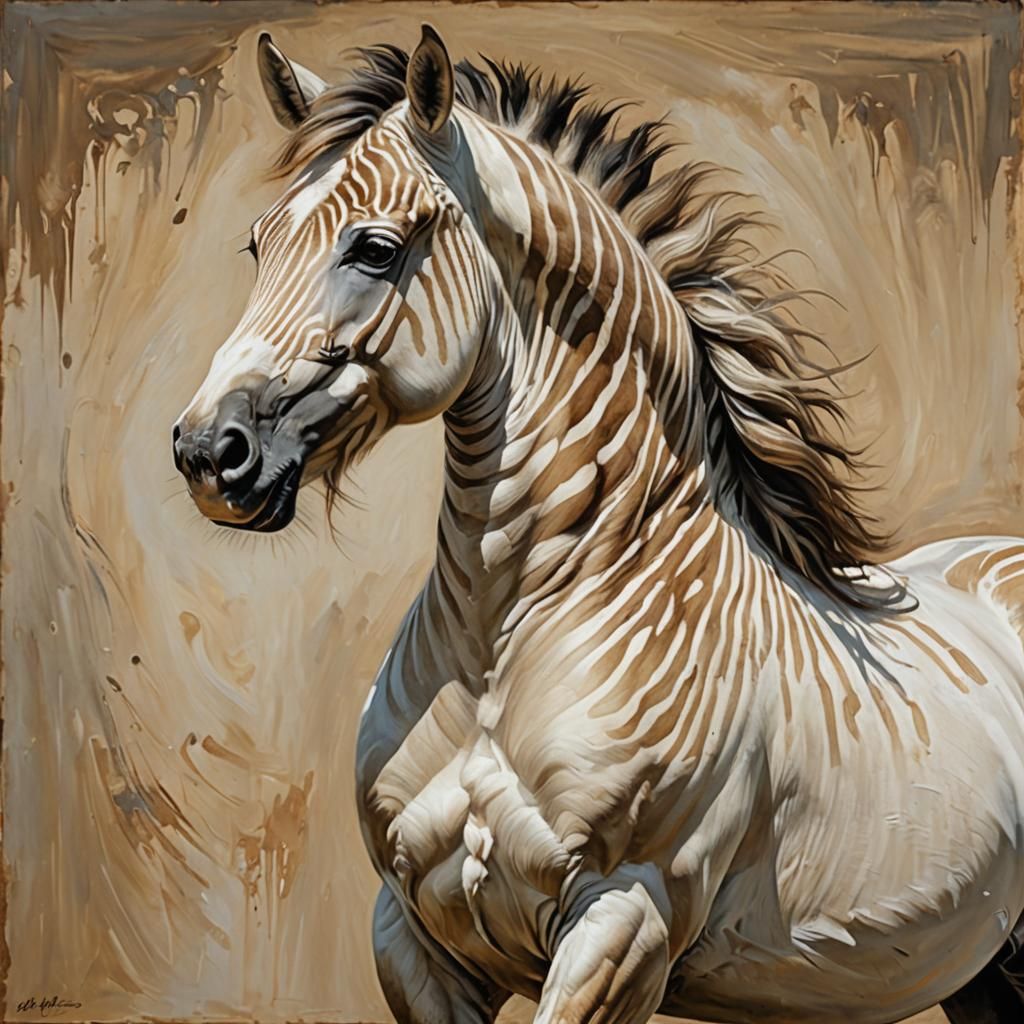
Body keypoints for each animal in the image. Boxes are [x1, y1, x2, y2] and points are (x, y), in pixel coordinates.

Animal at [173, 26, 1024, 1023]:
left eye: (375, 250)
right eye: (258, 244)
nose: (207, 451)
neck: (503, 650)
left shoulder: (623, 924)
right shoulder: (413, 934)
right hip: (981, 967)